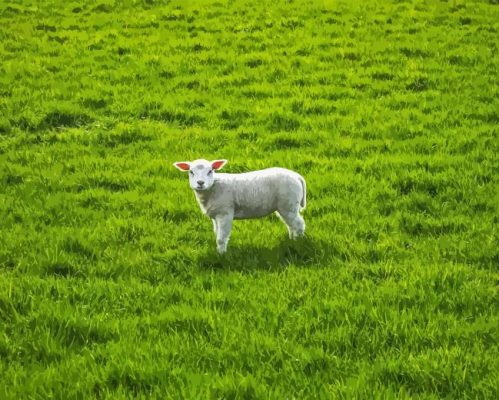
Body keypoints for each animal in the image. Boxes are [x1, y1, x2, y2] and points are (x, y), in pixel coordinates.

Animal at [174, 159, 306, 253]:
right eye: (191, 172)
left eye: (210, 171)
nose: (200, 183)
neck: (212, 188)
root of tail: (298, 177)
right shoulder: (216, 215)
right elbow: (217, 233)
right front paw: (219, 251)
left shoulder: (225, 212)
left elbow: (221, 238)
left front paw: (221, 255)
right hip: (285, 206)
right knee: (291, 225)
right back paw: (292, 240)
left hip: (288, 203)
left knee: (299, 224)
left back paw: (298, 243)